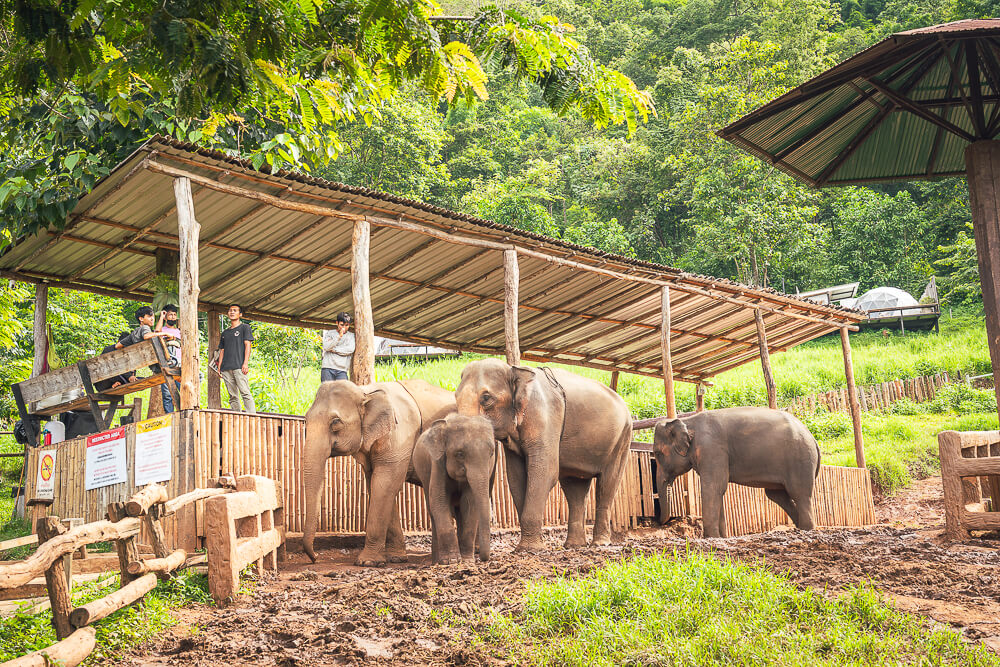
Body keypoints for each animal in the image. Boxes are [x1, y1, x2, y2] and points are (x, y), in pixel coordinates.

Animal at [302, 379, 454, 565]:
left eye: (335, 422)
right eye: (306, 420)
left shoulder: (401, 434)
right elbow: (377, 485)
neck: (365, 391)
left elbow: (385, 484)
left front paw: (367, 562)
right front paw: (396, 558)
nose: (315, 558)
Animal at [412, 414, 497, 564]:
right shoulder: (437, 463)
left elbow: (470, 503)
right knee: (432, 509)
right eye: (459, 454)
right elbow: (439, 501)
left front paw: (467, 561)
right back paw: (436, 561)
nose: (483, 558)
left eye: (491, 453)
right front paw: (451, 561)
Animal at [455, 358, 633, 551]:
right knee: (575, 487)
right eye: (455, 396)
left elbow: (545, 472)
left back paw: (599, 544)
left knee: (607, 484)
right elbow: (516, 477)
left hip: (622, 439)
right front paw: (526, 547)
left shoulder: (544, 416)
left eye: (486, 398)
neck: (514, 370)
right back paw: (573, 546)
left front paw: (530, 549)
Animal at [653, 407, 821, 538]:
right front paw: (721, 537)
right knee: (777, 495)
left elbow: (713, 488)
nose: (661, 522)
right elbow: (718, 490)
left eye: (658, 454)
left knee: (800, 494)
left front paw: (710, 538)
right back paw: (800, 529)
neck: (688, 421)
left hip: (800, 459)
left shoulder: (712, 449)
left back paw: (807, 530)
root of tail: (812, 437)